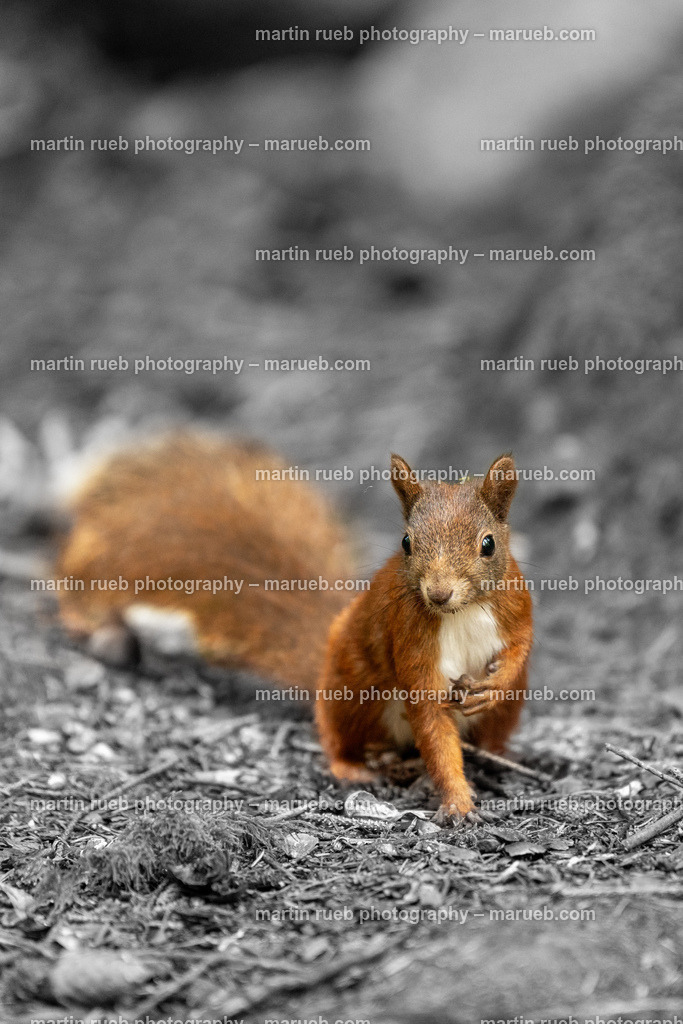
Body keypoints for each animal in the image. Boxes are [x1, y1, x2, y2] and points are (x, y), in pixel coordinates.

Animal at [54, 433, 532, 821]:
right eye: (406, 543)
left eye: (488, 544)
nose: (438, 593)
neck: (461, 613)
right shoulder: (409, 635)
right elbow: (431, 718)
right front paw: (457, 802)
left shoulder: (516, 605)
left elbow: (521, 644)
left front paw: (494, 685)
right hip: (354, 692)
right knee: (338, 736)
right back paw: (354, 767)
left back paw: (496, 757)